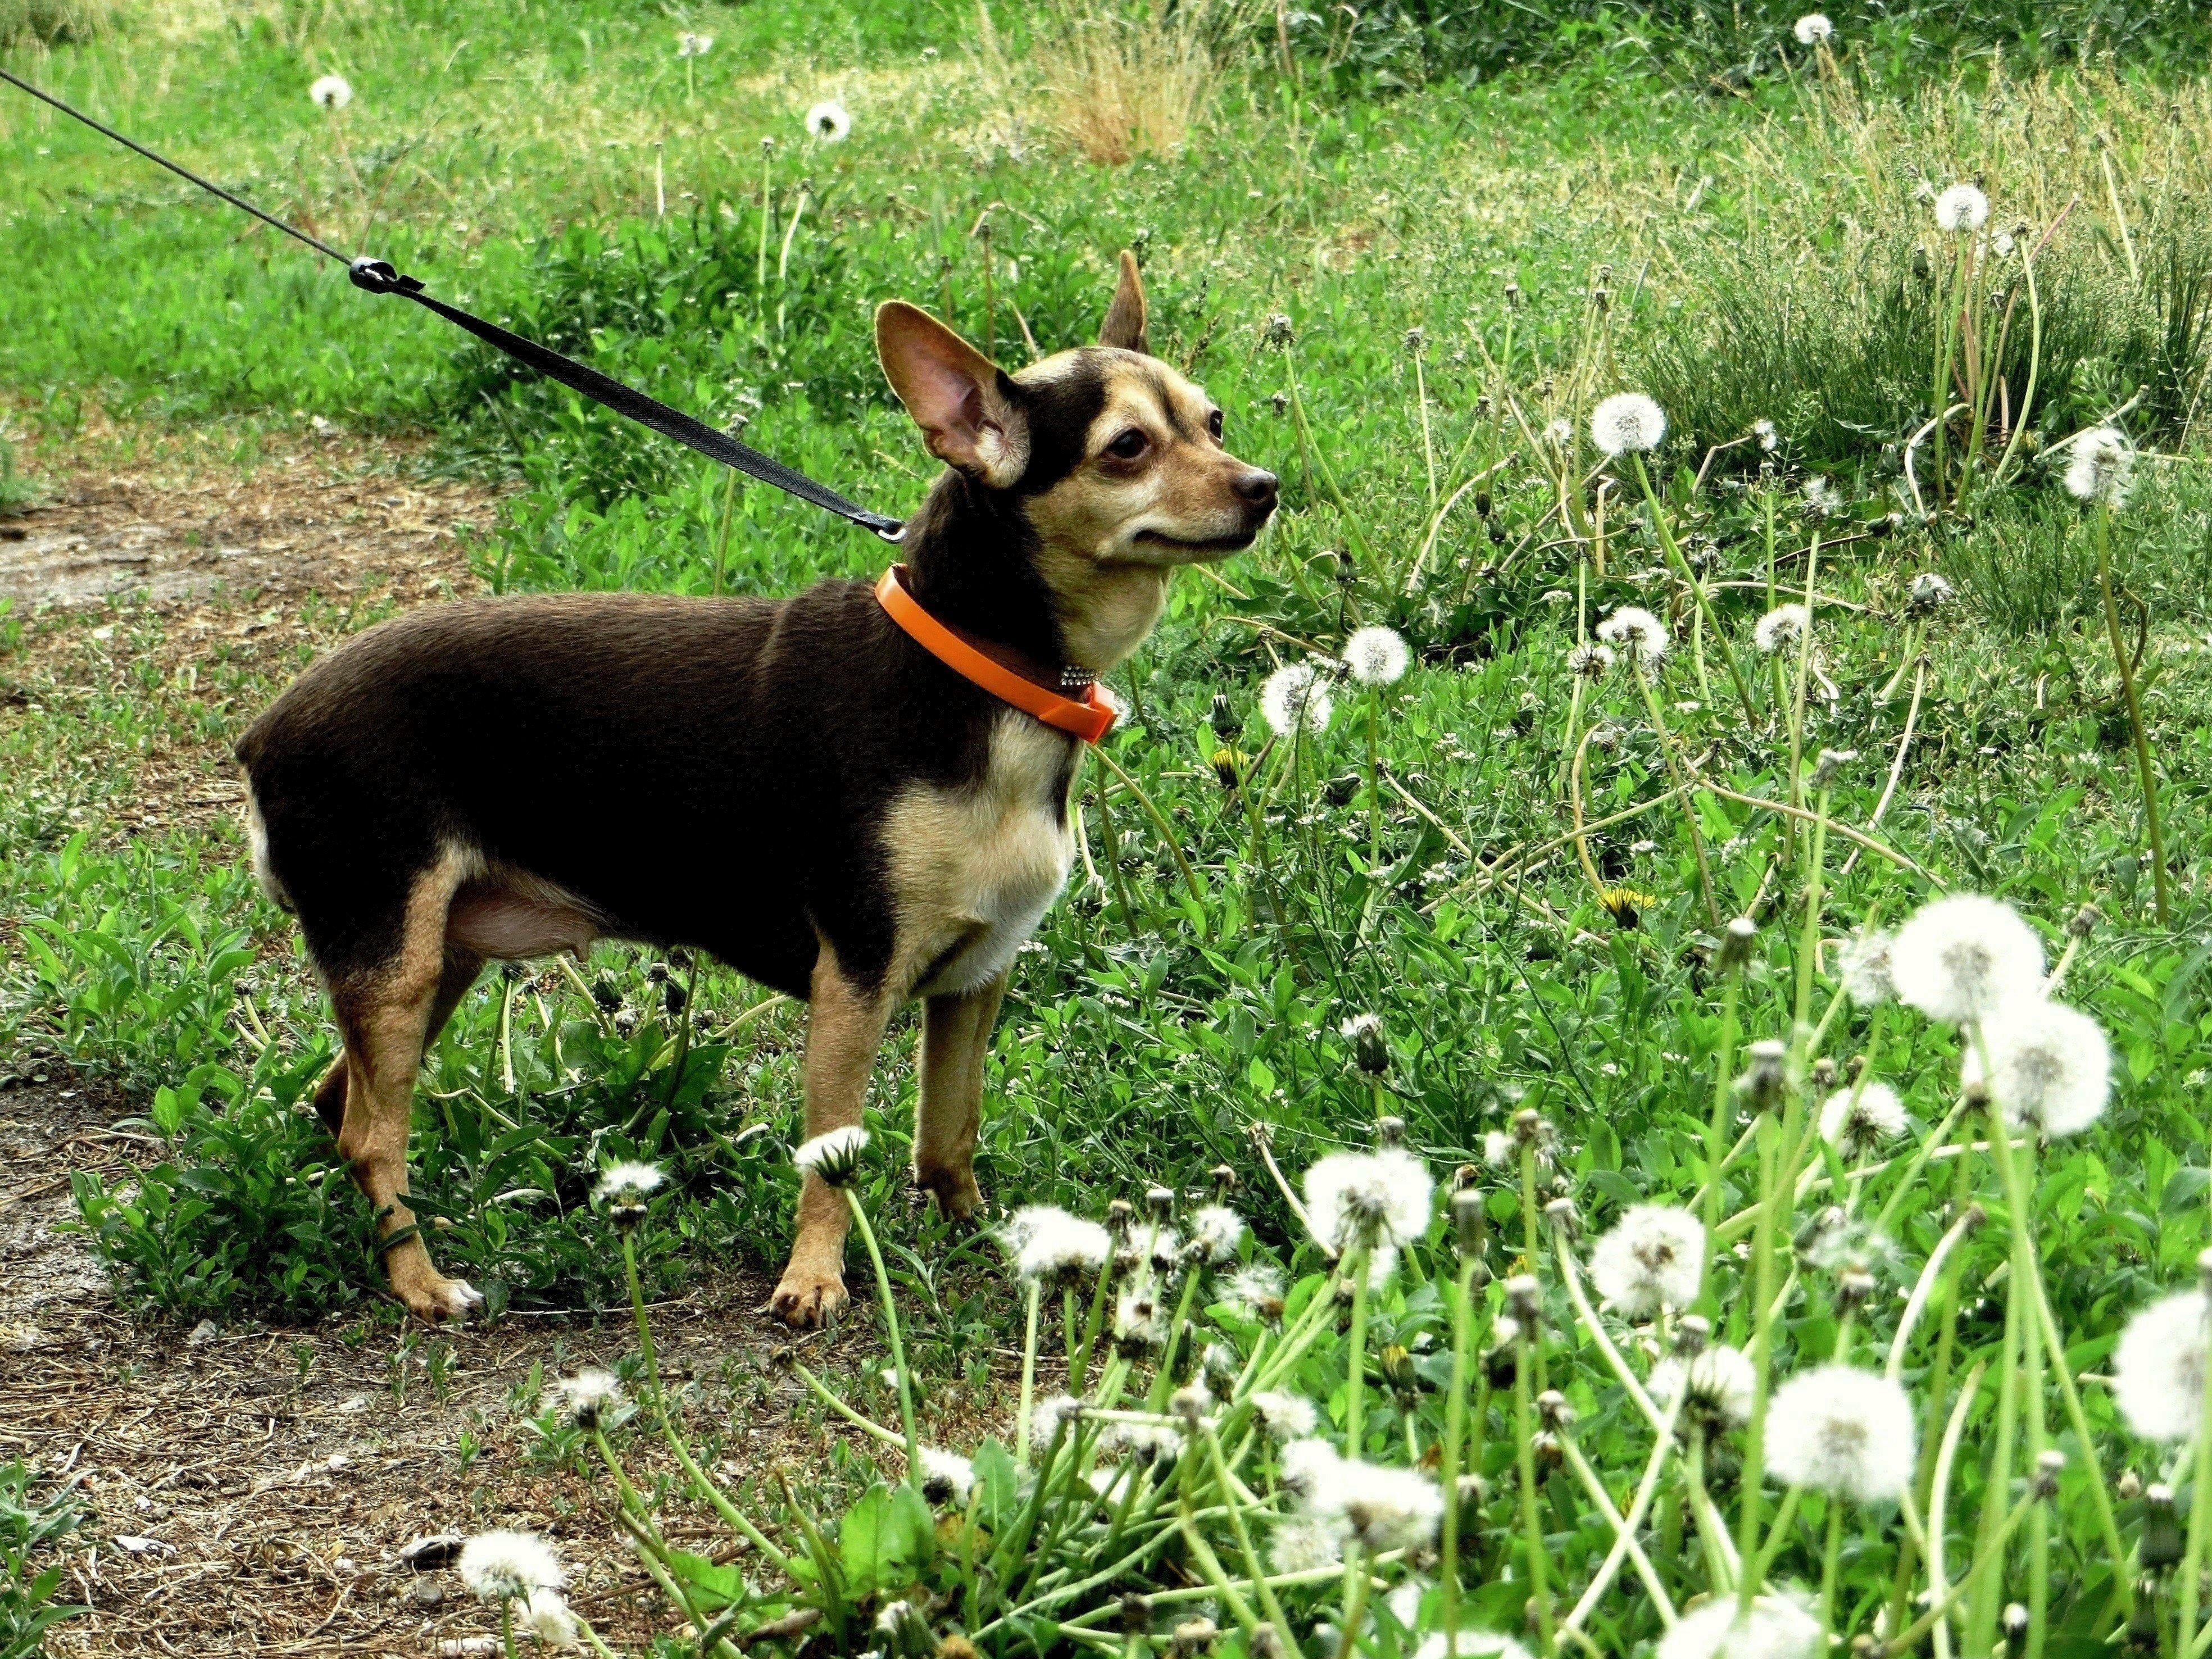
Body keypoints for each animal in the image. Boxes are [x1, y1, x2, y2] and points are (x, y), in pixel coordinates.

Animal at [238, 253, 1283, 1336]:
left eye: (1213, 421)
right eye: (1128, 447)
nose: (1265, 488)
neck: (984, 667)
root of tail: (267, 731)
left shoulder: (976, 977)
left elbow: (947, 1133)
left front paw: (986, 1237)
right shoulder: (856, 978)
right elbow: (833, 1155)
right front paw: (814, 1278)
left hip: (434, 961)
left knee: (339, 1103)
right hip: (397, 963)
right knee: (369, 1132)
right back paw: (421, 1282)